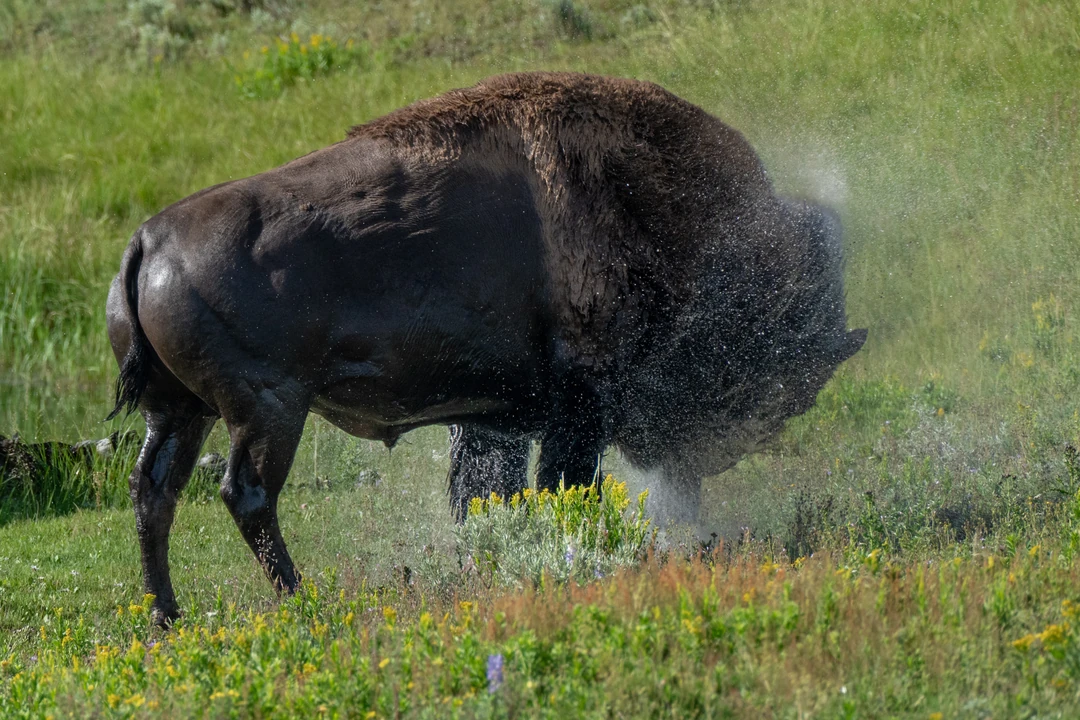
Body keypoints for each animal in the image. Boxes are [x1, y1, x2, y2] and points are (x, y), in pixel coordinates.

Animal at [107, 72, 865, 624]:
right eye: (774, 330)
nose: (725, 448)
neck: (646, 202)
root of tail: (148, 239)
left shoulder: (497, 419)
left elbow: (487, 493)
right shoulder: (577, 409)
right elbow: (562, 487)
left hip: (180, 413)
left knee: (154, 494)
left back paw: (168, 618)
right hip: (266, 411)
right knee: (246, 494)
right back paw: (303, 601)